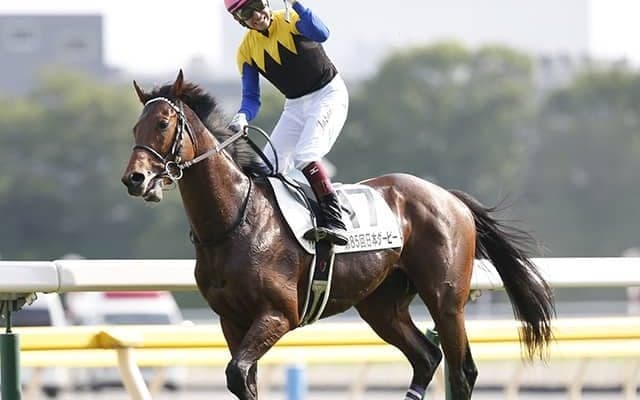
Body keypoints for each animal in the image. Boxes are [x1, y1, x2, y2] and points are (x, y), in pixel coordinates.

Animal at [121, 70, 554, 400]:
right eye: (134, 127)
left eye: (163, 124)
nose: (134, 179)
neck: (235, 223)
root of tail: (449, 197)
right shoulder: (231, 320)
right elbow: (244, 380)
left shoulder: (278, 314)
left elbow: (237, 373)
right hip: (382, 305)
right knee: (427, 357)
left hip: (446, 301)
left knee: (462, 371)